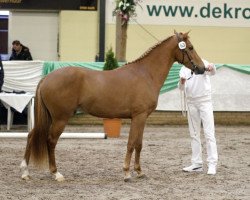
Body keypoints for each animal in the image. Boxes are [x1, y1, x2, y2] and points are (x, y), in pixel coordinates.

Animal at [21, 30, 205, 181]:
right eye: (190, 47)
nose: (202, 69)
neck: (146, 74)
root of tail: (46, 78)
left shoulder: (142, 118)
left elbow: (139, 144)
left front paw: (139, 171)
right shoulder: (138, 116)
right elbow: (131, 143)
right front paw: (127, 173)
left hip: (49, 118)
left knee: (31, 135)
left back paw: (25, 172)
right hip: (60, 118)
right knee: (51, 141)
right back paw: (55, 173)